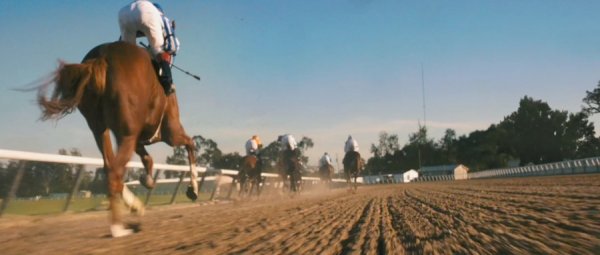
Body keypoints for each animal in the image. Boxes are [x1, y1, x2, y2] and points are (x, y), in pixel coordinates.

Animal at [35, 40, 199, 238]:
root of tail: (100, 59)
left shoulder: (133, 137)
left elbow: (147, 159)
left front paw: (146, 183)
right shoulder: (170, 131)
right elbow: (190, 143)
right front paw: (193, 190)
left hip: (100, 129)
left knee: (109, 167)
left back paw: (132, 209)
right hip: (129, 134)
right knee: (114, 171)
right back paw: (118, 228)